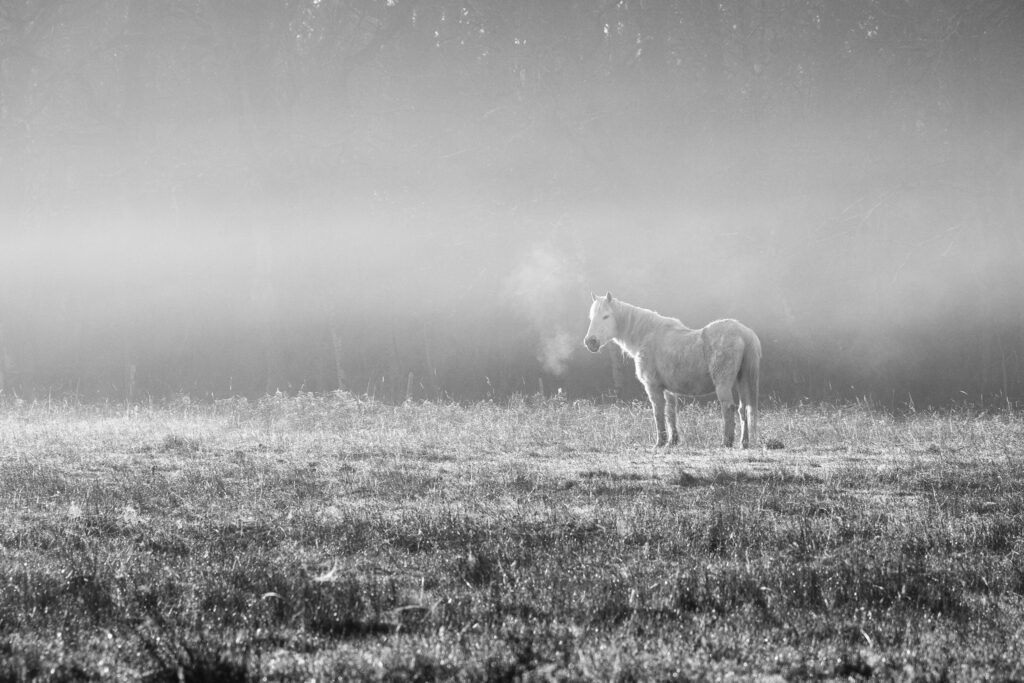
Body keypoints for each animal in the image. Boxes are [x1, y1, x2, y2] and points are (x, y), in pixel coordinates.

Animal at [583, 293, 761, 449]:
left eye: (606, 316)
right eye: (591, 318)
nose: (590, 342)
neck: (646, 335)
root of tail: (744, 333)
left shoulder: (653, 387)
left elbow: (658, 413)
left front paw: (660, 442)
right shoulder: (669, 390)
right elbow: (671, 414)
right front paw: (672, 441)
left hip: (723, 384)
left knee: (729, 408)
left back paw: (726, 442)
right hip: (742, 381)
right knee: (743, 409)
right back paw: (743, 443)